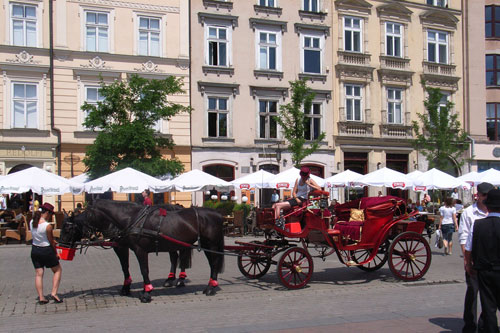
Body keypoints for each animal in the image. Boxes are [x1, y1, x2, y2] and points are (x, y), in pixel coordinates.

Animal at [59, 198, 224, 302]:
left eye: (68, 229)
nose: (61, 246)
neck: (130, 218)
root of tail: (217, 214)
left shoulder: (139, 250)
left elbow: (144, 270)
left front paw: (147, 292)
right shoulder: (122, 247)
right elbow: (125, 267)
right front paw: (126, 287)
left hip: (211, 244)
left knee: (214, 263)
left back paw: (208, 286)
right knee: (204, 263)